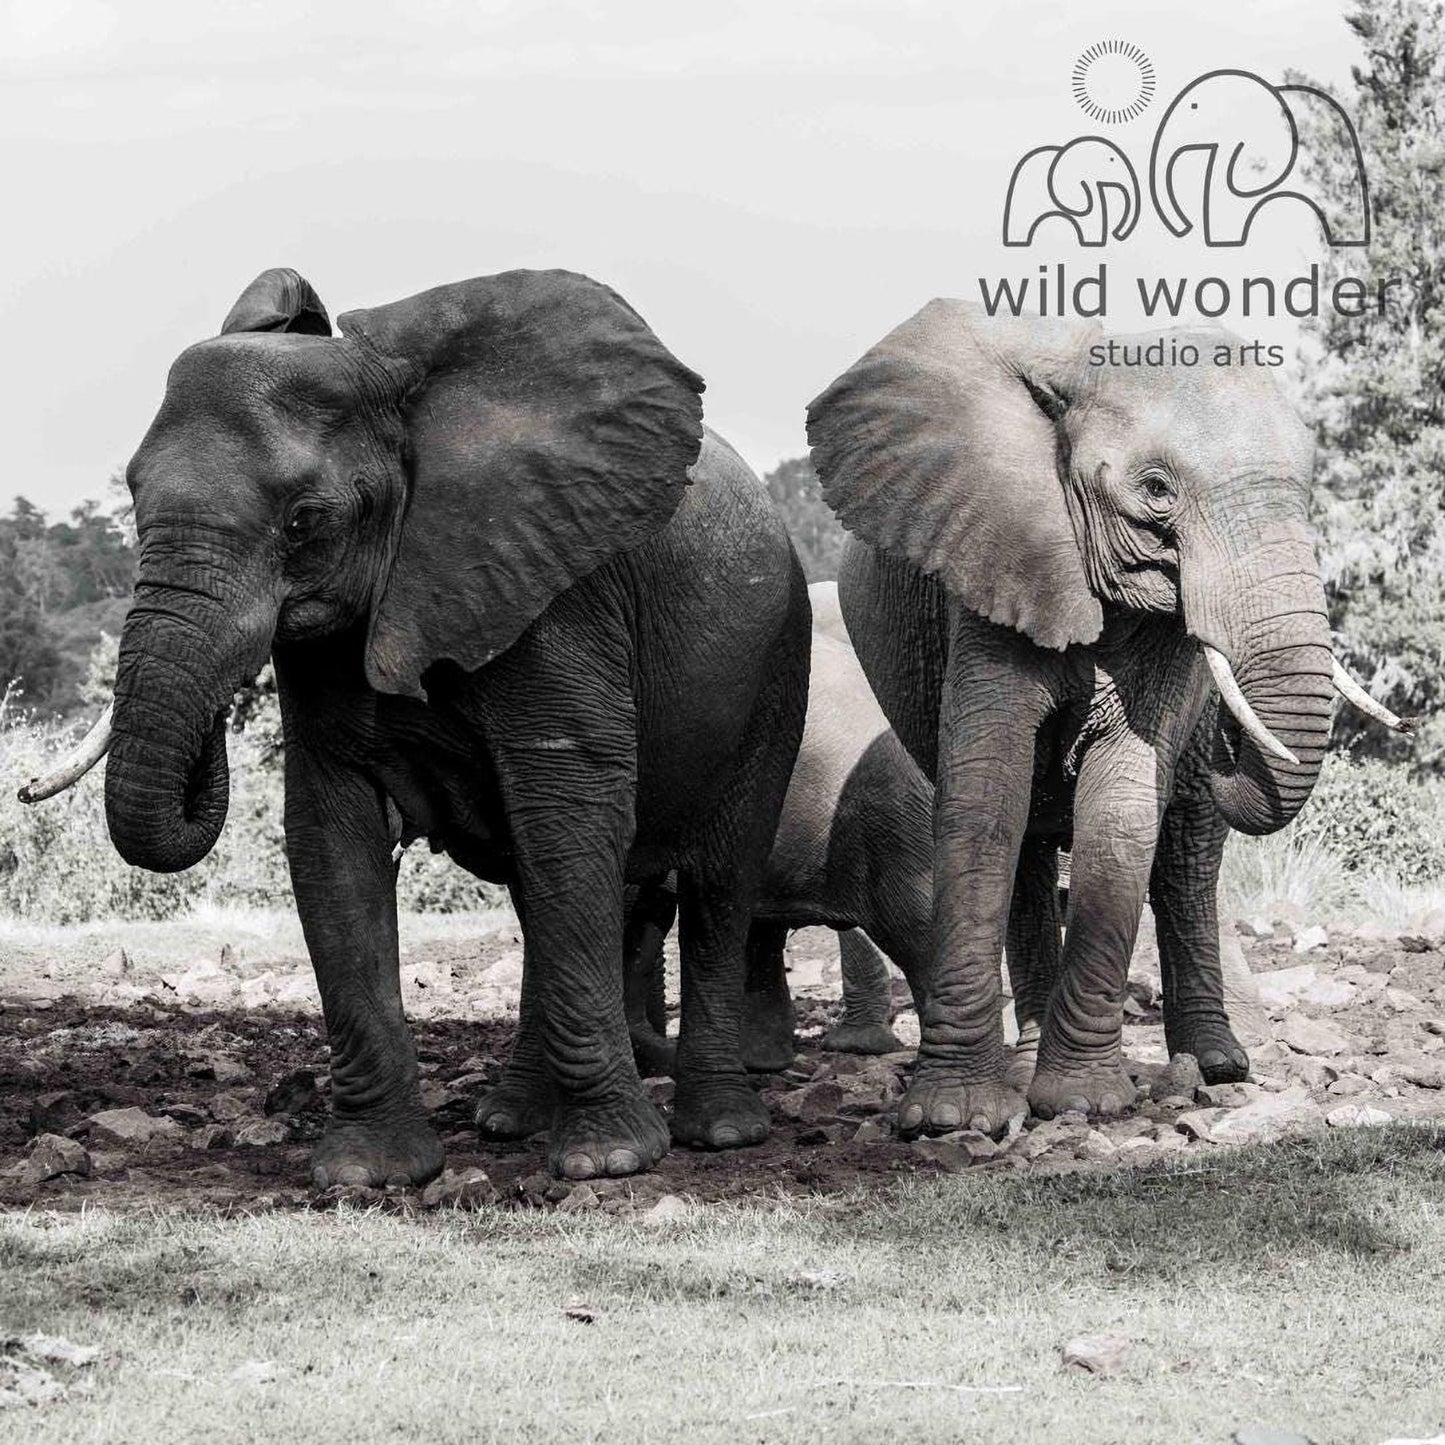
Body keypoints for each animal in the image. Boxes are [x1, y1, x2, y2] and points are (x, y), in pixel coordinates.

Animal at [51, 266, 811, 1185]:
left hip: (778, 656)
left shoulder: (556, 586)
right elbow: (332, 835)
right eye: (131, 495)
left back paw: (720, 1131)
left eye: (304, 520)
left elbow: (571, 809)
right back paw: (511, 1120)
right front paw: (367, 1174)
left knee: (718, 880)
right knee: (538, 890)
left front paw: (610, 1161)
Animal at [806, 299, 1398, 1137]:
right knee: (1027, 844)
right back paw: (1024, 1065)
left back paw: (1215, 1067)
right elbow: (984, 793)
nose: (1225, 739)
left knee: (1184, 857)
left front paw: (1081, 1102)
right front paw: (953, 1116)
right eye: (1155, 489)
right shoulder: (988, 555)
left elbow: (1122, 804)